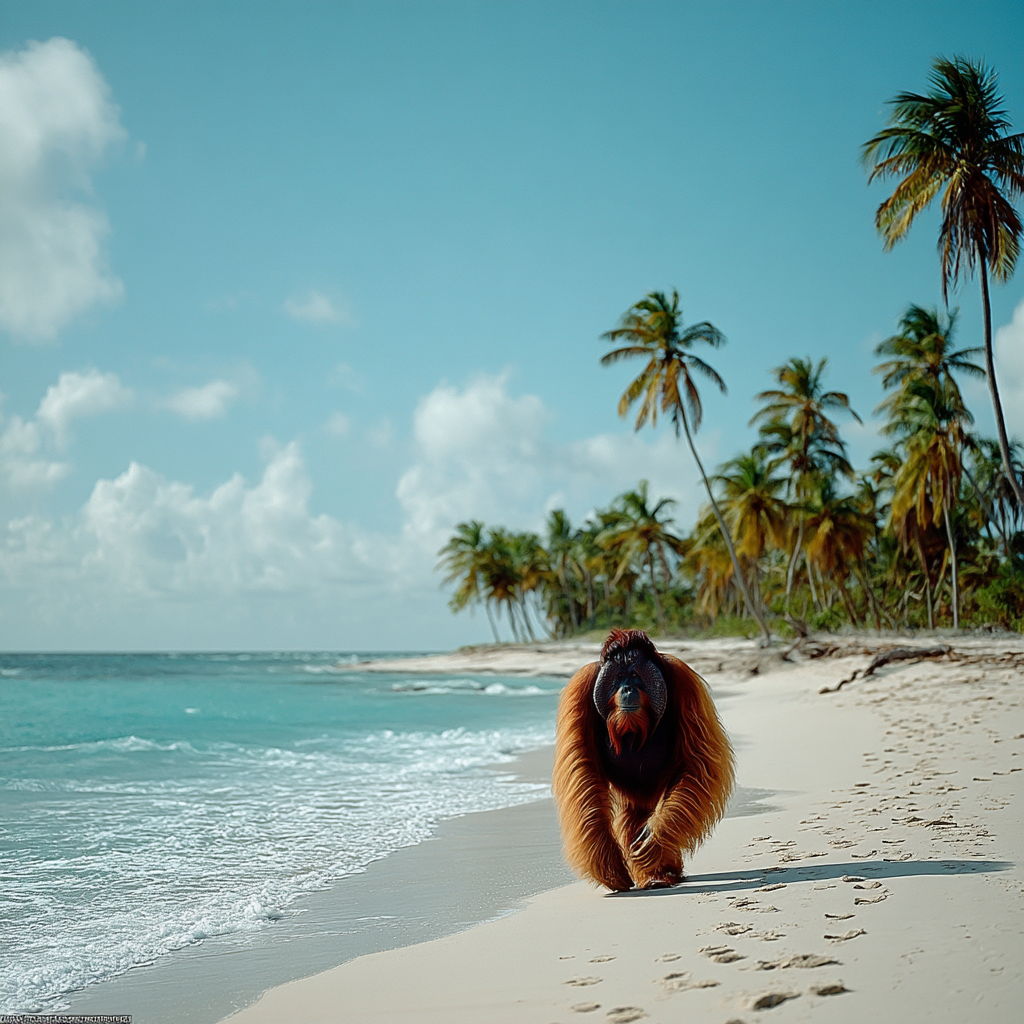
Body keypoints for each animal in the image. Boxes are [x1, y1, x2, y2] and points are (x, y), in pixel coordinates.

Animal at [552, 628, 734, 891]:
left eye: (635, 675)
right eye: (618, 677)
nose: (627, 688)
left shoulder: (683, 679)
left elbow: (698, 761)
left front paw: (652, 842)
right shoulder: (581, 686)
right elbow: (582, 768)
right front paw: (611, 869)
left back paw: (660, 873)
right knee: (631, 814)